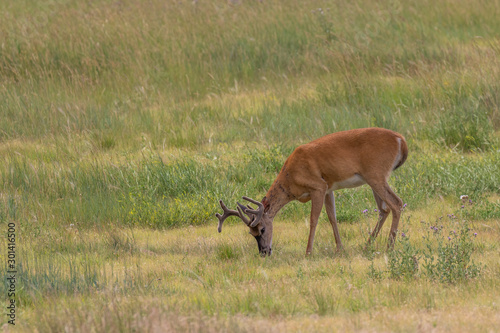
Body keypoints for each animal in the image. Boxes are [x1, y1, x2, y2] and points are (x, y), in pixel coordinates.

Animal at [214, 126, 406, 255]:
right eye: (250, 233)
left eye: (262, 229)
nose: (264, 252)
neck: (290, 177)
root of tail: (401, 140)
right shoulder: (329, 188)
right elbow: (332, 217)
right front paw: (340, 249)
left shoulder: (318, 186)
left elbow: (314, 219)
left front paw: (308, 252)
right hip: (372, 179)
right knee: (384, 209)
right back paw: (368, 245)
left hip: (376, 175)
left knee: (396, 203)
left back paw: (389, 247)